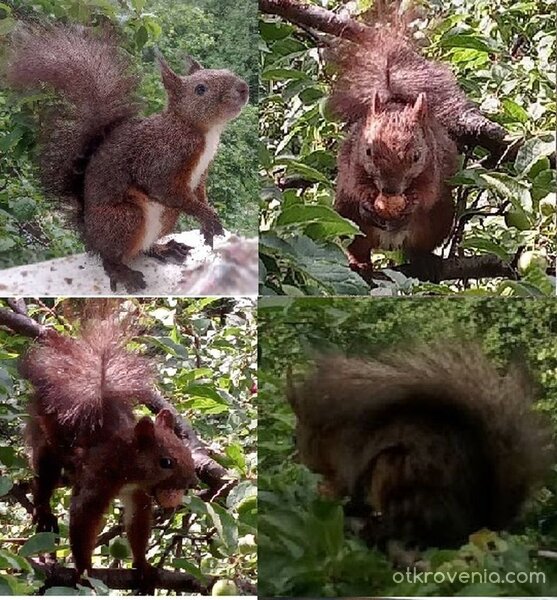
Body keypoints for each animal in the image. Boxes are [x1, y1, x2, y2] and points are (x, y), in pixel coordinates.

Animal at [7, 24, 248, 292]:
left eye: (227, 71)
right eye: (201, 89)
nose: (243, 88)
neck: (201, 131)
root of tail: (90, 234)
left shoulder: (201, 174)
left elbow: (200, 193)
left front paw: (207, 224)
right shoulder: (160, 158)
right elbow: (163, 187)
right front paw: (208, 217)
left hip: (167, 216)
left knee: (141, 248)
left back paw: (162, 248)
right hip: (124, 219)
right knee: (110, 256)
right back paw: (122, 272)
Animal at [19, 322, 197, 584]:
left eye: (187, 452)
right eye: (165, 462)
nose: (193, 482)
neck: (124, 460)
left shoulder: (137, 494)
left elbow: (138, 521)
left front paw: (142, 565)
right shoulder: (97, 481)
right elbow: (83, 519)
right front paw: (84, 570)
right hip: (46, 445)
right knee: (43, 478)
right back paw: (43, 512)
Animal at [284, 344, 552, 556]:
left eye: (296, 438)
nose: (300, 460)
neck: (334, 433)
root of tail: (474, 525)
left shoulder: (348, 458)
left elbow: (345, 486)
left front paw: (327, 493)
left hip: (398, 472)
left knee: (408, 524)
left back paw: (382, 529)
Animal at [328, 2, 502, 276]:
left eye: (417, 155)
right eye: (368, 151)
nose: (390, 190)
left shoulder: (434, 163)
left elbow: (427, 191)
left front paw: (412, 202)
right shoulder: (351, 160)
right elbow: (355, 184)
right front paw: (367, 202)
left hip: (439, 220)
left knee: (421, 244)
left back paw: (425, 261)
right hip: (346, 219)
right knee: (356, 244)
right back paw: (360, 264)